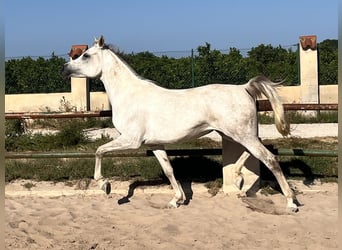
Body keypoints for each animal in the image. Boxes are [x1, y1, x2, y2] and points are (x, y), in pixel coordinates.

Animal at [62, 35, 298, 211]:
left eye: (85, 55)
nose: (64, 69)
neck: (129, 95)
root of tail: (244, 88)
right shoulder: (155, 144)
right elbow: (169, 170)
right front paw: (176, 200)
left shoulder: (131, 140)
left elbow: (99, 151)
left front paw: (105, 185)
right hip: (236, 133)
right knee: (258, 151)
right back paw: (239, 179)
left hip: (242, 134)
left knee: (269, 158)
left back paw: (290, 203)